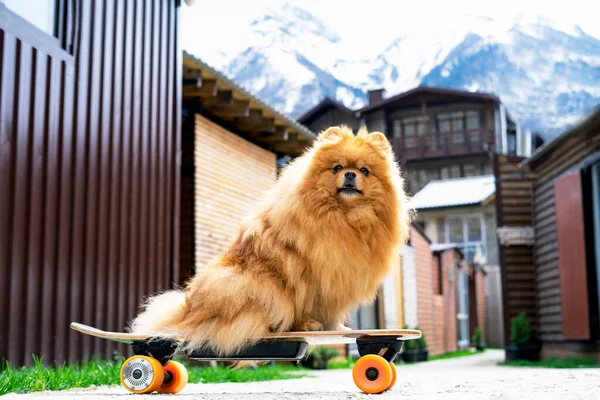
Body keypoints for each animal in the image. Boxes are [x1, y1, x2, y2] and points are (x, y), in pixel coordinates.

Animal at [129, 125, 410, 356]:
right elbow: (305, 302)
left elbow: (331, 309)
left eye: (364, 171)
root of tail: (186, 312)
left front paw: (336, 326)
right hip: (243, 282)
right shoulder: (306, 273)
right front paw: (308, 324)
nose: (350, 175)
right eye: (337, 168)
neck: (343, 219)